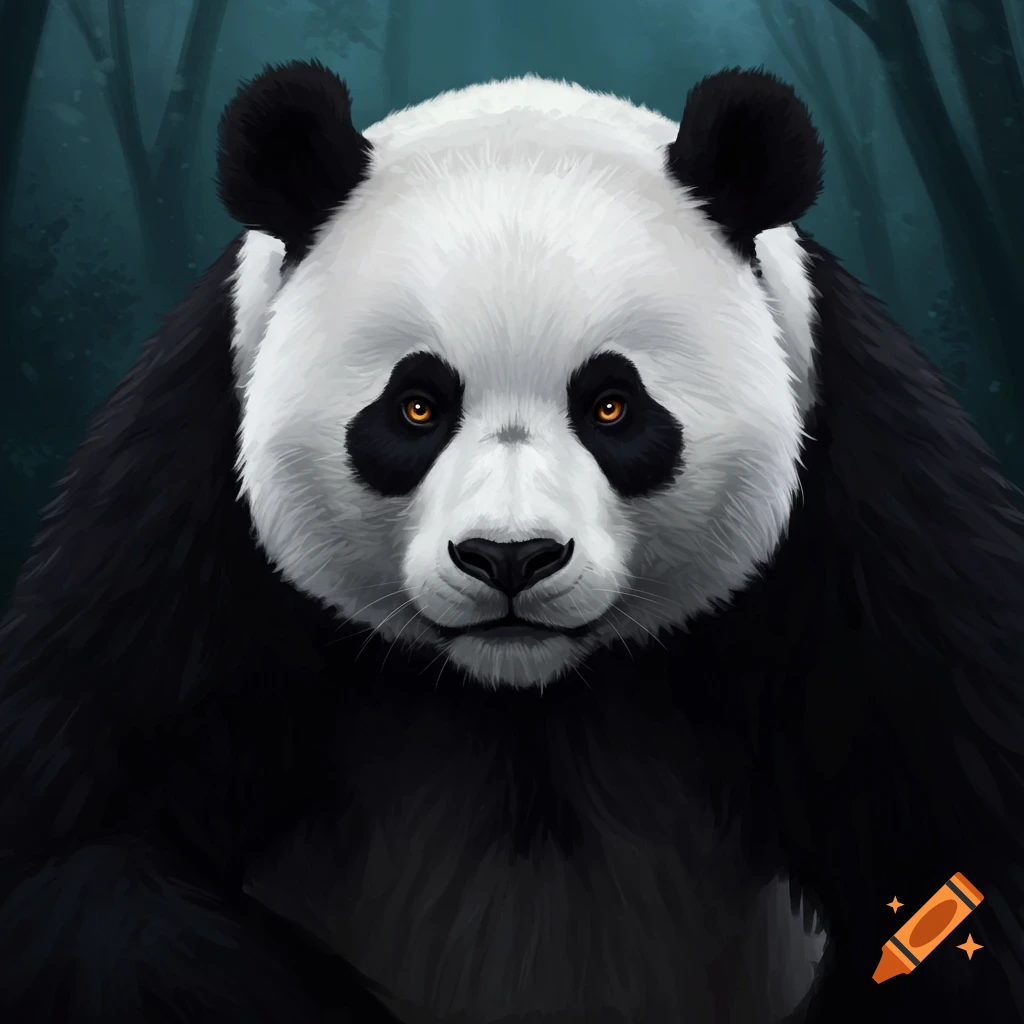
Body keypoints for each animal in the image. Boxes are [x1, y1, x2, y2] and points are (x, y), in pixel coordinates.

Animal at [1, 58, 1023, 1024]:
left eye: (613, 406)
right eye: (416, 407)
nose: (510, 559)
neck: (523, 700)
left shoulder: (867, 509)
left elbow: (964, 850)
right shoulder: (178, 518)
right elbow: (86, 854)